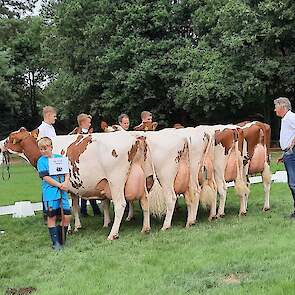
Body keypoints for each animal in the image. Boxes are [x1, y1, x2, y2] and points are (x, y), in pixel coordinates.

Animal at [2, 129, 150, 240]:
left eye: (9, 138)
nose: (1, 143)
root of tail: (133, 137)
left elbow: (65, 207)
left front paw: (67, 229)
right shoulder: (73, 188)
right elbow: (74, 206)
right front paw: (77, 226)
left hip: (115, 180)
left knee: (120, 204)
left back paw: (112, 234)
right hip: (142, 178)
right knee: (145, 201)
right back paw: (145, 228)